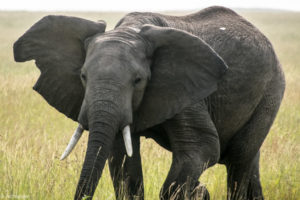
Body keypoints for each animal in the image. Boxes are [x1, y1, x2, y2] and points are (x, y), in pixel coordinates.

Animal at [14, 5, 284, 200]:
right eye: (83, 76)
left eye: (138, 80)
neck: (129, 31)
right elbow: (122, 161)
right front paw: (199, 190)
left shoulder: (187, 88)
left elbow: (203, 147)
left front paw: (199, 191)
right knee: (250, 164)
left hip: (271, 91)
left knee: (239, 162)